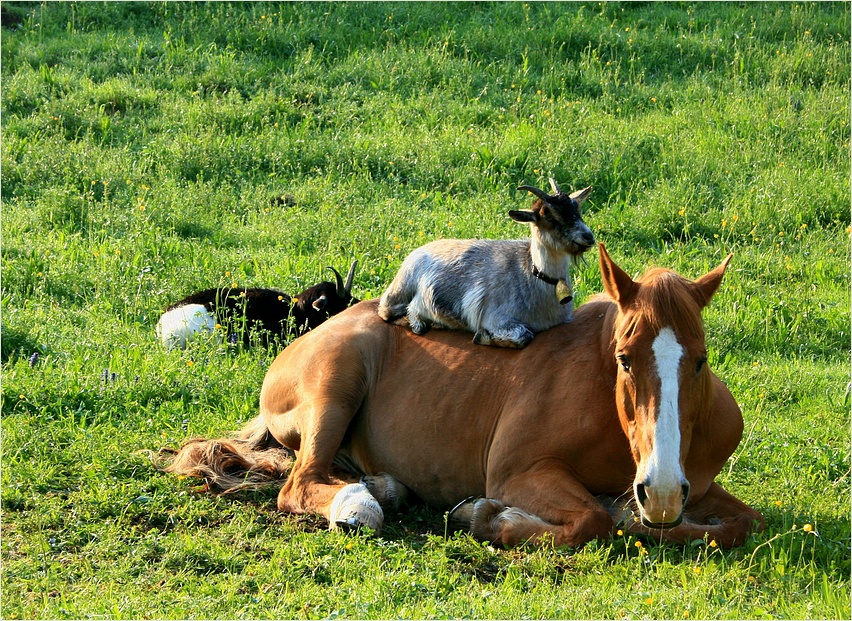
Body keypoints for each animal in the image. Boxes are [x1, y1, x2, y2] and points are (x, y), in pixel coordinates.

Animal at [378, 178, 592, 348]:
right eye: (548, 215)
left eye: (577, 209)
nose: (588, 236)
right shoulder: (496, 317)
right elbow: (524, 336)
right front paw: (483, 337)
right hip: (403, 288)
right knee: (394, 310)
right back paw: (422, 323)